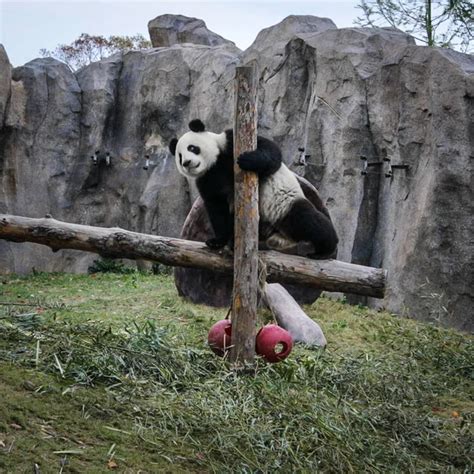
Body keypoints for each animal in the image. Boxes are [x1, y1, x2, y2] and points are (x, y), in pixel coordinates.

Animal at [168, 118, 338, 260]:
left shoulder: (228, 143)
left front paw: (248, 160)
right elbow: (217, 208)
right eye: (180, 157)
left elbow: (271, 150)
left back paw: (326, 250)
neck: (214, 163)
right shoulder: (207, 179)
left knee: (308, 221)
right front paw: (217, 241)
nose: (187, 163)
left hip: (284, 206)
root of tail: (280, 236)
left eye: (192, 148)